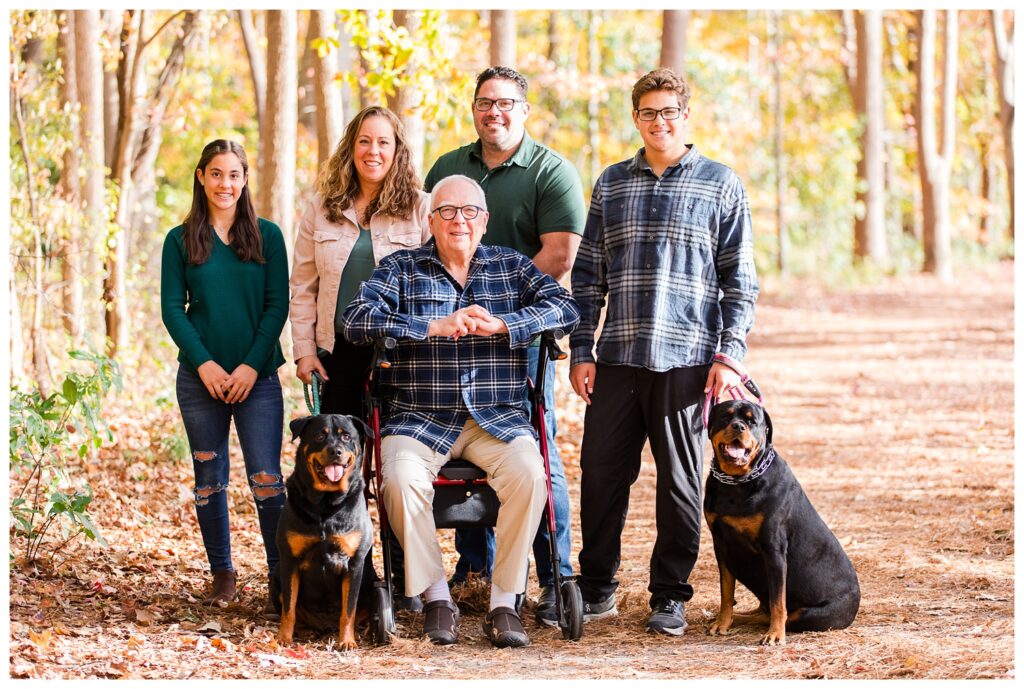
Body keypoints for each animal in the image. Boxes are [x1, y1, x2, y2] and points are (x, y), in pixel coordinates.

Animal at [270, 413, 374, 651]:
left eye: (346, 436)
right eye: (319, 436)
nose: (336, 451)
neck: (326, 504)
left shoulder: (354, 563)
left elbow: (349, 610)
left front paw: (347, 641)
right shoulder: (289, 561)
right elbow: (289, 607)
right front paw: (284, 637)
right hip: (276, 573)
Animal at [700, 397, 860, 647]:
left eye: (752, 421)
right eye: (725, 416)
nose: (738, 426)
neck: (738, 482)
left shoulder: (773, 550)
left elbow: (778, 601)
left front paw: (775, 634)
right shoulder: (721, 545)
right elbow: (726, 592)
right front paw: (722, 622)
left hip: (809, 615)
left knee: (780, 614)